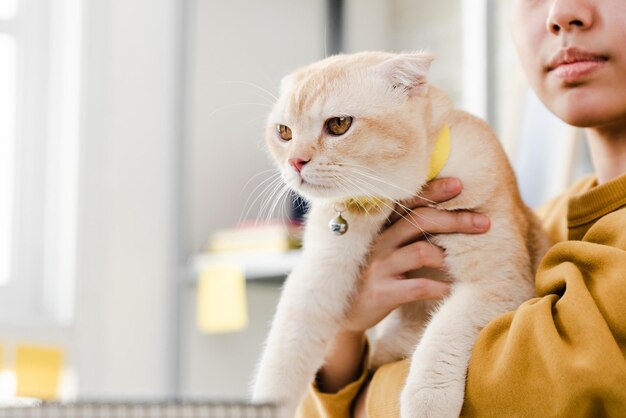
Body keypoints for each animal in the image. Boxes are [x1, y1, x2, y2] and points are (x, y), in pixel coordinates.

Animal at [249, 52, 544, 418]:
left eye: (338, 124)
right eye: (284, 132)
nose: (295, 161)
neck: (396, 198)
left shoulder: (498, 282)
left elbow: (442, 333)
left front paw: (427, 400)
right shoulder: (315, 277)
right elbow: (284, 352)